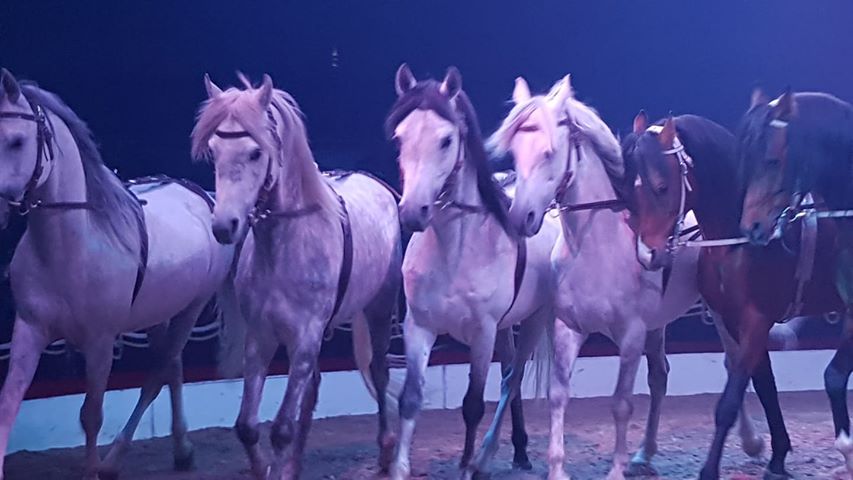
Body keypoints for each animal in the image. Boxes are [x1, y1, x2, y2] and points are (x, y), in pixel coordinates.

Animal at [0, 68, 239, 480]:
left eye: (16, 141)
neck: (70, 248)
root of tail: (201, 195)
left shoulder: (99, 343)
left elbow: (91, 416)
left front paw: (93, 470)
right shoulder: (29, 330)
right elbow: (8, 404)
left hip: (191, 309)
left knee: (156, 377)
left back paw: (115, 461)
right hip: (161, 313)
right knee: (172, 369)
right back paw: (181, 449)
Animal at [191, 73, 401, 480]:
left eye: (255, 152)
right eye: (213, 150)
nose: (225, 226)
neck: (285, 246)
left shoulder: (304, 336)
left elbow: (282, 428)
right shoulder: (261, 338)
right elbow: (247, 425)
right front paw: (266, 468)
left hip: (380, 309)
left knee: (379, 370)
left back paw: (386, 450)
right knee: (314, 388)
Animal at [385, 64, 558, 480]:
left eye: (447, 140)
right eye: (400, 136)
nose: (412, 212)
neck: (455, 250)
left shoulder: (482, 333)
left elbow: (473, 405)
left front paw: (466, 467)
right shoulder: (419, 326)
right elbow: (410, 398)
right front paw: (398, 468)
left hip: (532, 320)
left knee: (512, 380)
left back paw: (485, 458)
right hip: (507, 328)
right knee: (510, 373)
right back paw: (518, 450)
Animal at [624, 106, 846, 479]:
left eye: (662, 186)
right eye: (630, 189)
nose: (647, 255)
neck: (741, 239)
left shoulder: (757, 319)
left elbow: (729, 401)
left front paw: (710, 469)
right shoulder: (735, 320)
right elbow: (764, 387)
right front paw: (777, 458)